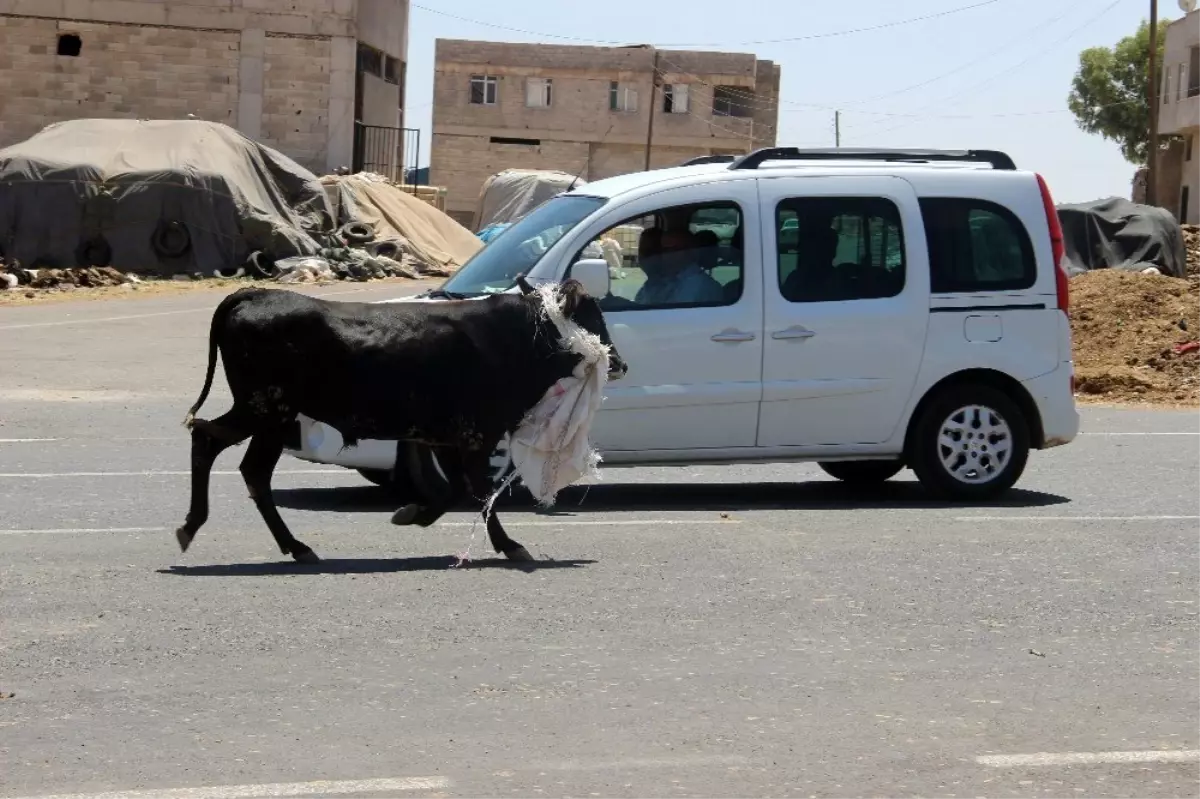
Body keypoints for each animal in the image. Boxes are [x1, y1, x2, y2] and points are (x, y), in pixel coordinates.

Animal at [180, 277, 628, 563]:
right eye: (591, 318)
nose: (620, 364)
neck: (513, 337)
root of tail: (253, 294)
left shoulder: (447, 437)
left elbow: (456, 491)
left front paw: (413, 513)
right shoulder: (476, 435)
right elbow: (480, 492)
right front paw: (510, 545)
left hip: (266, 416)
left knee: (232, 458)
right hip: (266, 410)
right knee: (222, 450)